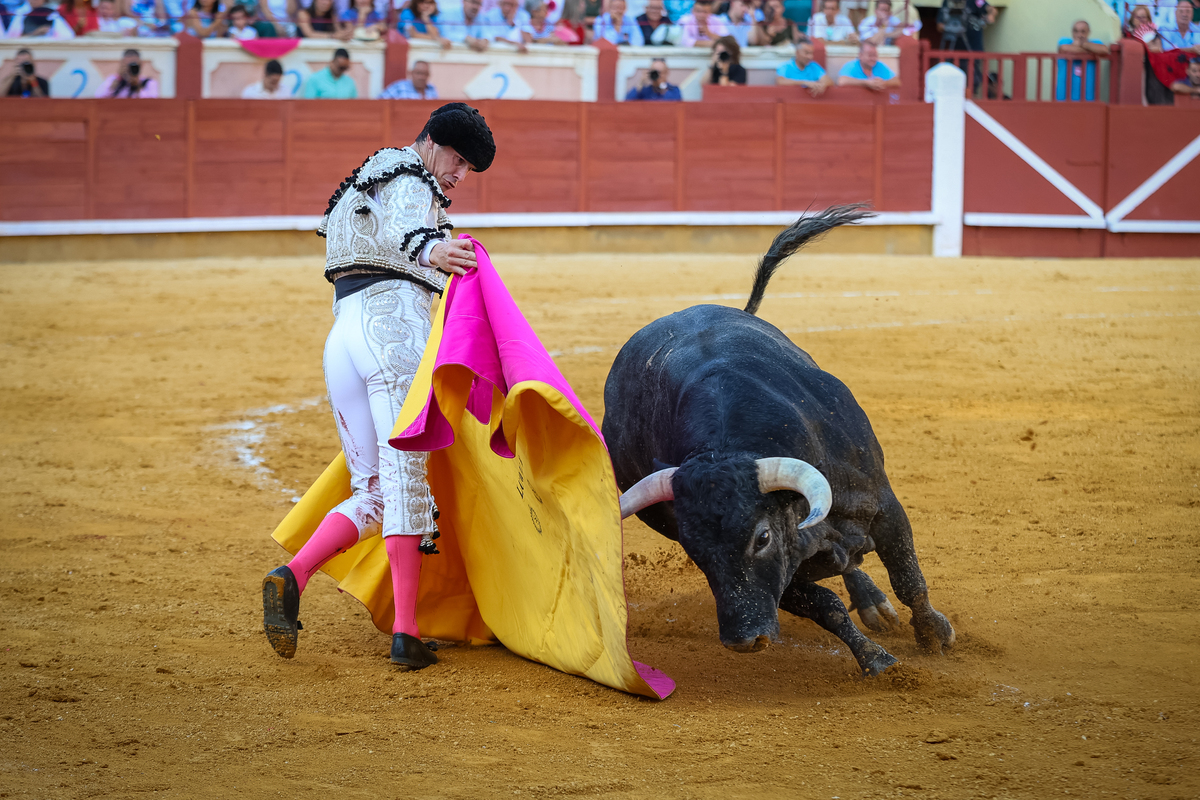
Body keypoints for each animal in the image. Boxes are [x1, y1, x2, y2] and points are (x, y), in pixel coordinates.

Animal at [604, 206, 960, 676]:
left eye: (762, 538)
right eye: (696, 552)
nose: (742, 640)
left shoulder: (884, 504)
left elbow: (907, 575)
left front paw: (933, 635)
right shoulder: (787, 571)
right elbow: (827, 608)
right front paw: (877, 661)